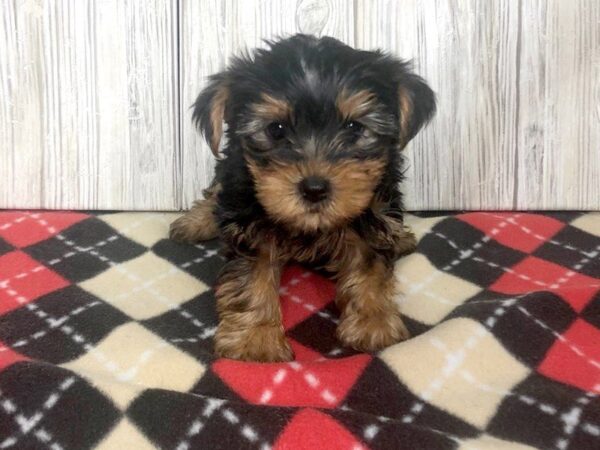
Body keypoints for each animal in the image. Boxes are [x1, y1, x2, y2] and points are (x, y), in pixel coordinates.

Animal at [170, 34, 436, 362]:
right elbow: (251, 275)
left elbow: (370, 263)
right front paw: (257, 339)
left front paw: (373, 322)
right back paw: (196, 221)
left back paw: (401, 238)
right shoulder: (248, 216)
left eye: (354, 128)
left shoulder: (375, 211)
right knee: (217, 190)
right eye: (276, 129)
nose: (314, 188)